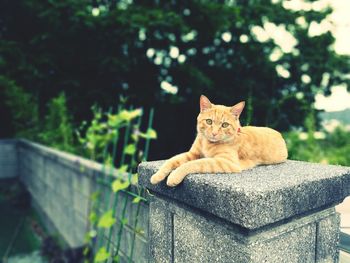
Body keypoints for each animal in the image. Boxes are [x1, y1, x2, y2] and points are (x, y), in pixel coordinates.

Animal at [150, 96, 288, 188]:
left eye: (225, 125)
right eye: (209, 121)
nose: (214, 133)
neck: (206, 143)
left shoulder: (225, 162)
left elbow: (193, 164)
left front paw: (174, 176)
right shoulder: (193, 153)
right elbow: (171, 161)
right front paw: (157, 176)